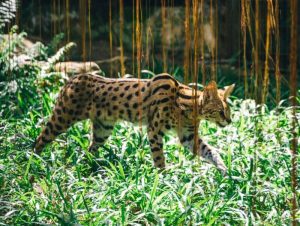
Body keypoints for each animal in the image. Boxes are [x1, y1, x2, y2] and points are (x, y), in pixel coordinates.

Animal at [34, 73, 234, 174]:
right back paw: (33, 163)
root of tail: (71, 79)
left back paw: (91, 167)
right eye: (221, 111)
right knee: (39, 139)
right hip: (62, 118)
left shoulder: (188, 136)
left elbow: (211, 151)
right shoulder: (154, 130)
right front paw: (164, 180)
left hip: (103, 129)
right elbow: (159, 158)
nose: (230, 121)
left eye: (229, 111)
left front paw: (224, 169)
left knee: (89, 148)